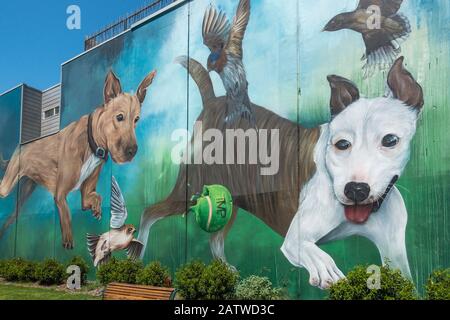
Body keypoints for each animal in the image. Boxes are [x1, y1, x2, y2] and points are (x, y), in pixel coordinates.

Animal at [0, 69, 156, 250]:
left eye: (136, 119)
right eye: (119, 117)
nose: (132, 151)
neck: (92, 143)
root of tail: (20, 146)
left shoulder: (86, 192)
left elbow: (95, 197)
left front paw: (96, 209)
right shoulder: (60, 194)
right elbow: (67, 215)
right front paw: (68, 240)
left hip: (25, 192)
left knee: (10, 218)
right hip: (7, 185)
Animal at [284, 57, 424, 290]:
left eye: (390, 140)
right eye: (342, 144)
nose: (356, 189)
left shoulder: (394, 251)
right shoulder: (296, 237)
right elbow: (309, 249)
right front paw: (325, 269)